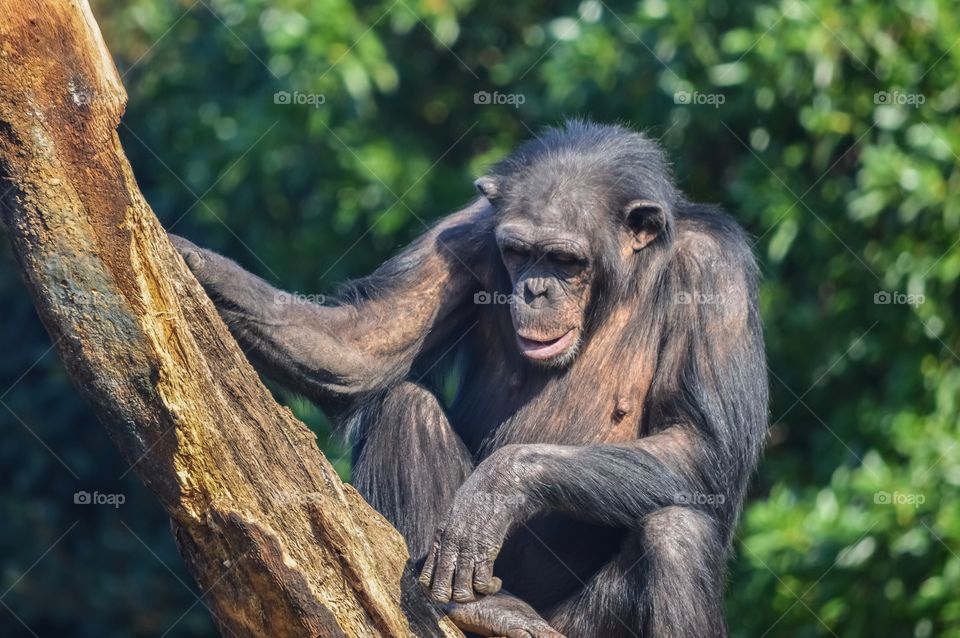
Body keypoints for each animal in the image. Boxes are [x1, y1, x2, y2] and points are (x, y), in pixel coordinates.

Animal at [172, 121, 768, 638]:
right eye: (519, 252)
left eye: (565, 259)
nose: (535, 290)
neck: (618, 283)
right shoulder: (466, 232)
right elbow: (362, 345)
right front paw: (193, 260)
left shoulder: (717, 270)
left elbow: (702, 440)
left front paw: (499, 487)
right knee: (405, 403)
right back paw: (481, 610)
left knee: (676, 536)